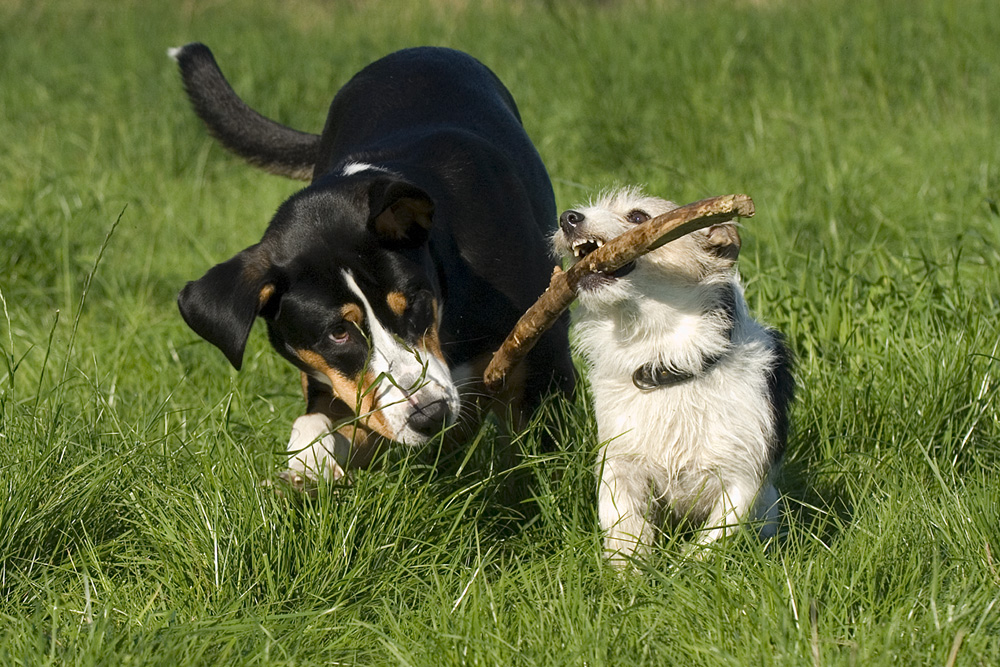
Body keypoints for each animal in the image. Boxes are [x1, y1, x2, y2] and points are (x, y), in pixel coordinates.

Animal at [172, 44, 576, 482]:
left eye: (415, 303)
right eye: (337, 333)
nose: (430, 415)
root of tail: (413, 51)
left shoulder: (544, 354)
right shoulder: (332, 384)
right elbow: (318, 420)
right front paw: (308, 460)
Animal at [552, 188, 792, 564]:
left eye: (638, 216)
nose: (567, 218)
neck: (665, 359)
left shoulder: (742, 476)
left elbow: (714, 537)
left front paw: (685, 570)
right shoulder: (620, 464)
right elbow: (624, 526)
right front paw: (629, 573)